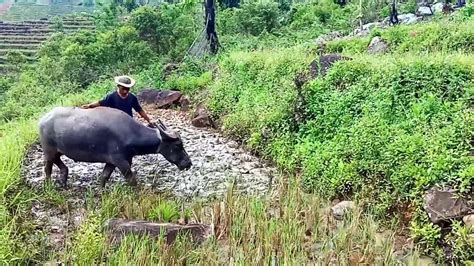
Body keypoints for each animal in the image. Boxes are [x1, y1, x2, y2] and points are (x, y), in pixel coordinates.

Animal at [38, 106, 192, 187]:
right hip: (48, 150)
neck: (130, 133)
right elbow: (131, 179)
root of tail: (43, 119)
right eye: (178, 145)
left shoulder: (112, 162)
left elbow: (104, 177)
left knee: (59, 163)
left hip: (57, 151)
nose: (189, 163)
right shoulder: (121, 161)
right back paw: (48, 184)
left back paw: (63, 180)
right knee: (47, 167)